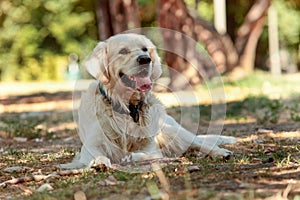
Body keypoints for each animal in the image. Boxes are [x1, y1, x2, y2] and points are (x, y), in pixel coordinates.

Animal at [61, 33, 237, 170]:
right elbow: (97, 154)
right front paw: (100, 161)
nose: (145, 59)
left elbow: (142, 154)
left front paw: (129, 157)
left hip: (171, 130)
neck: (128, 107)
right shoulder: (91, 145)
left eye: (145, 49)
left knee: (198, 142)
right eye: (123, 51)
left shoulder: (151, 147)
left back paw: (221, 152)